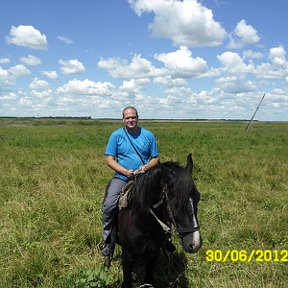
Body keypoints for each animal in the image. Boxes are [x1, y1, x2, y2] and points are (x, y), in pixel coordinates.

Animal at [118, 154, 201, 288]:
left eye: (198, 197)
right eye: (175, 202)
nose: (195, 244)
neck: (144, 225)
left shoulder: (153, 255)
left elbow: (148, 280)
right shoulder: (127, 255)